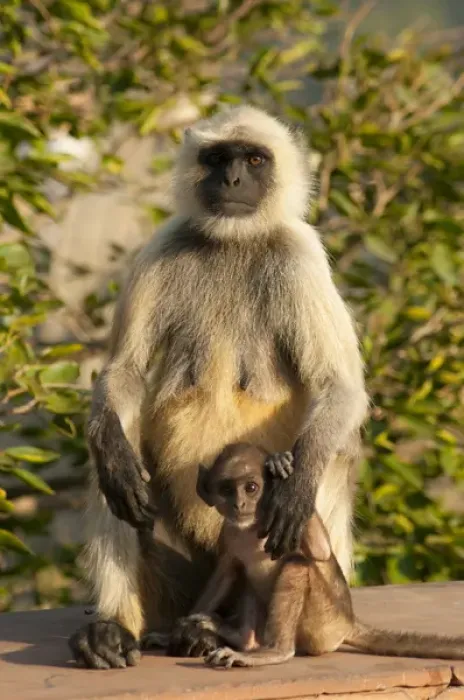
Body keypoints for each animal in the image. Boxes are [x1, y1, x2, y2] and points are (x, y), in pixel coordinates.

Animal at [69, 105, 369, 670]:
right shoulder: (165, 244)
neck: (234, 241)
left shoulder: (300, 255)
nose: (231, 180)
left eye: (253, 159)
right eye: (217, 158)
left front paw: (295, 487)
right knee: (113, 458)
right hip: (177, 583)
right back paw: (117, 629)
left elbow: (340, 388)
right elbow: (125, 372)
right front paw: (114, 451)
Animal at [172, 443, 464, 669]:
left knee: (297, 565)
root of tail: (348, 621)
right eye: (226, 490)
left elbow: (320, 552)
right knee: (247, 572)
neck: (252, 528)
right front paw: (185, 630)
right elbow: (227, 569)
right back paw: (244, 639)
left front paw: (281, 469)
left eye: (251, 487)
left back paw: (275, 652)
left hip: (323, 624)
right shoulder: (230, 533)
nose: (239, 504)